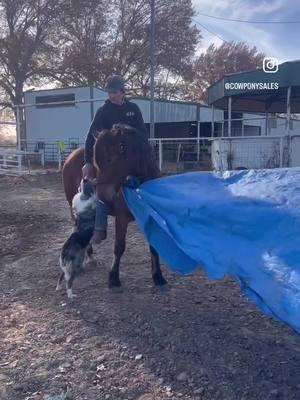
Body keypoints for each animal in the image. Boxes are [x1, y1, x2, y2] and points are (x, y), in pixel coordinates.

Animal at [62, 124, 168, 288]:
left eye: (109, 159)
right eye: (95, 161)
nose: (100, 194)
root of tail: (70, 156)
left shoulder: (150, 219)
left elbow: (153, 246)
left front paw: (158, 277)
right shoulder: (121, 218)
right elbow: (119, 247)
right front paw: (113, 278)